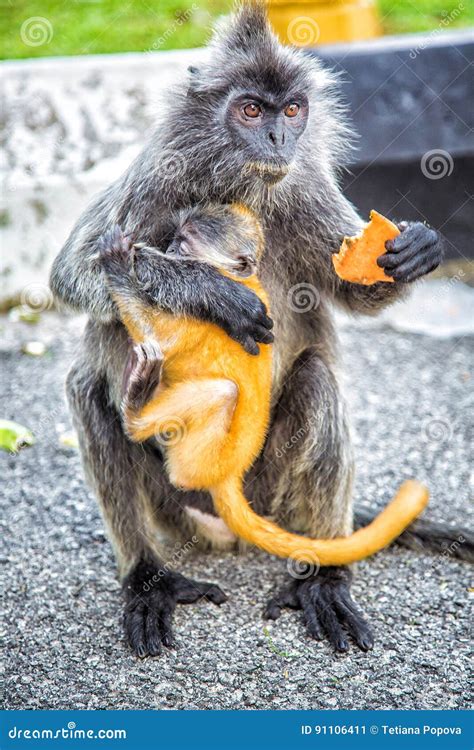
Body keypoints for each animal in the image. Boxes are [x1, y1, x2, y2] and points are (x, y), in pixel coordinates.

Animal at [100, 203, 430, 568]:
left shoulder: (206, 320)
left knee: (222, 395)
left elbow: (153, 333)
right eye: (173, 243)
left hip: (204, 456)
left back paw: (135, 415)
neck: (240, 278)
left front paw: (119, 266)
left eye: (183, 246)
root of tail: (230, 476)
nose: (169, 253)